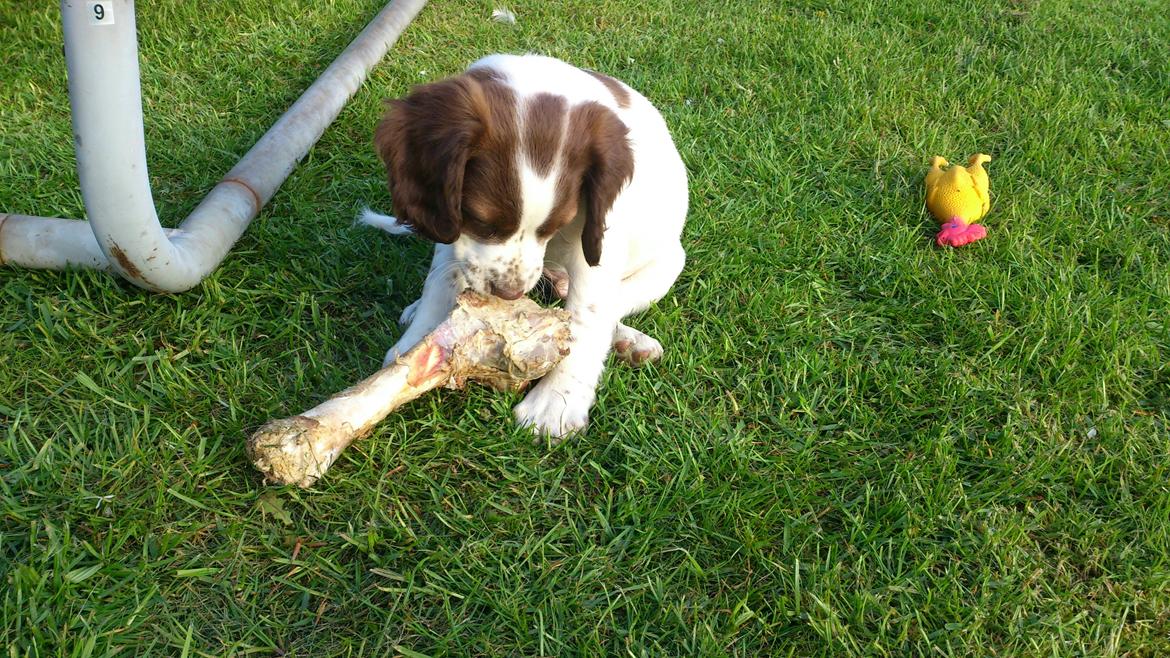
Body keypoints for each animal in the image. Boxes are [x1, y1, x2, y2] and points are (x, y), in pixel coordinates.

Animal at [358, 55, 683, 435]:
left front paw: (556, 401)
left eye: (554, 225)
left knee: (614, 305)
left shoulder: (598, 244)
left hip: (667, 265)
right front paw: (417, 344)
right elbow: (441, 281)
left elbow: (585, 318)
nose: (509, 293)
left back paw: (629, 342)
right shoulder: (452, 228)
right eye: (481, 221)